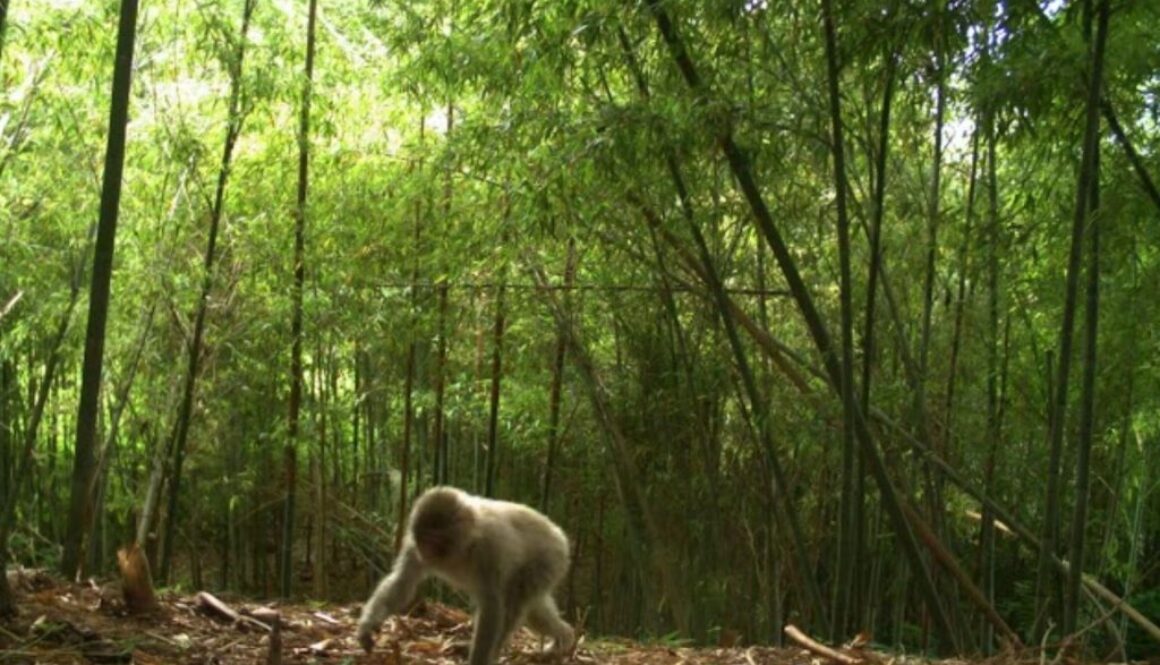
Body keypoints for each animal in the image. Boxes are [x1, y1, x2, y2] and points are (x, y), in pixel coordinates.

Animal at [357, 486, 575, 665]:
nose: (424, 550)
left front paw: (478, 660)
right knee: (534, 613)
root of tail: (559, 533)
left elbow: (492, 606)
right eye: (421, 538)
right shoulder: (412, 545)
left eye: (434, 539)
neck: (465, 544)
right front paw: (367, 626)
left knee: (514, 604)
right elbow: (401, 582)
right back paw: (565, 637)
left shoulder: (490, 550)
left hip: (549, 559)